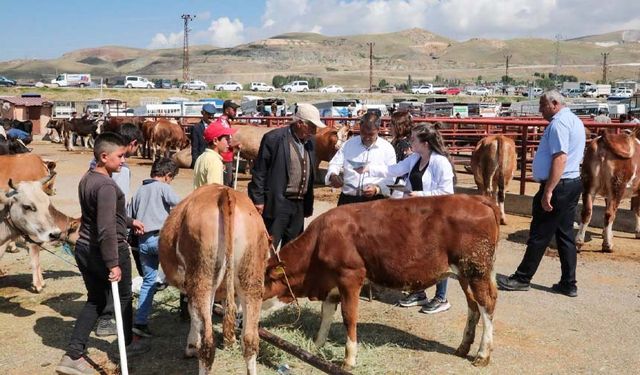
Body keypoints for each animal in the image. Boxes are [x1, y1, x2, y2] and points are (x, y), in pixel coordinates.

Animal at [161, 186, 272, 375]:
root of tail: (226, 193)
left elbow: (193, 315)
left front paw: (191, 346)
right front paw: (229, 341)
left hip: (202, 278)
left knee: (208, 344)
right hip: (252, 279)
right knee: (250, 339)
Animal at [264, 195, 500, 368]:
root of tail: (477, 199)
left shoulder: (350, 277)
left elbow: (349, 317)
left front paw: (349, 360)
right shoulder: (331, 284)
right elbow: (326, 315)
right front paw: (315, 346)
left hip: (476, 270)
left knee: (486, 305)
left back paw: (482, 355)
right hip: (466, 274)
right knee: (473, 306)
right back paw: (463, 347)